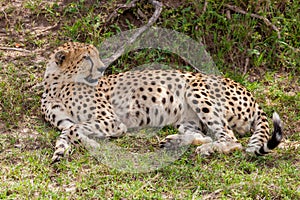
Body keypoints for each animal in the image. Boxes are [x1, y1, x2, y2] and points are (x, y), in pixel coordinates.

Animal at [41, 42, 282, 162]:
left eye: (96, 55)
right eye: (86, 58)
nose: (101, 68)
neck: (58, 84)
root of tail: (249, 93)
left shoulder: (112, 121)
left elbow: (73, 130)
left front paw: (88, 144)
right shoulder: (66, 122)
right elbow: (68, 131)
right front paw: (64, 149)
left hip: (195, 87)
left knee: (231, 139)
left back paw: (207, 150)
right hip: (188, 119)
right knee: (204, 135)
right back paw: (174, 142)